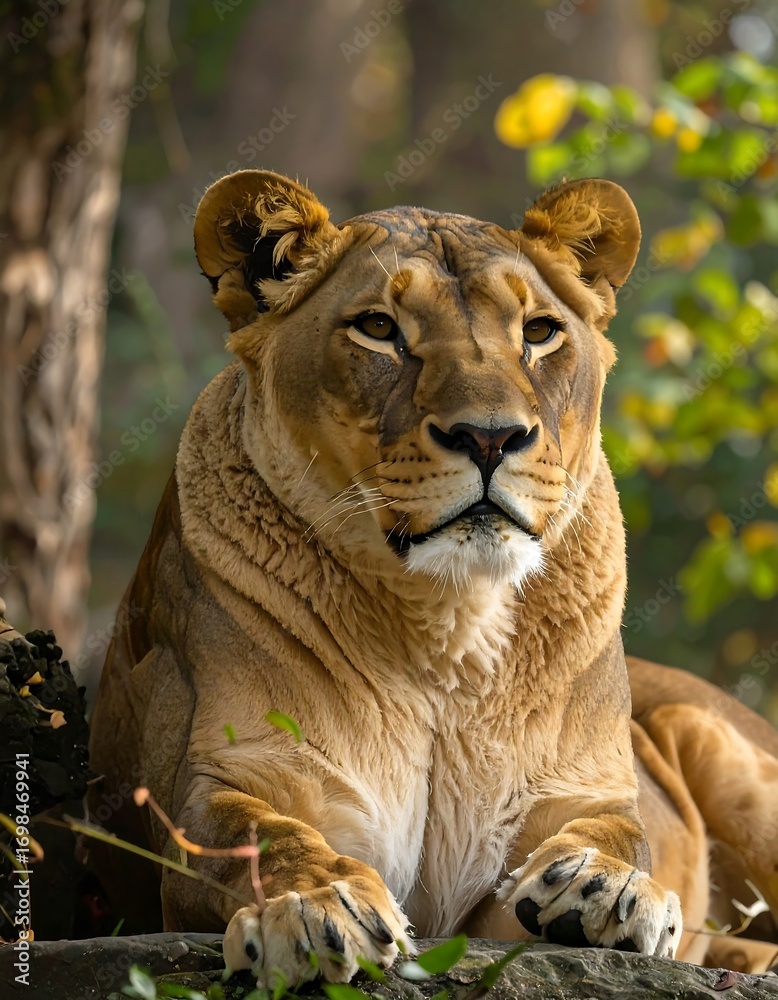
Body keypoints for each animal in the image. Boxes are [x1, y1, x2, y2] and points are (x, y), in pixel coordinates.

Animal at [88, 169, 778, 985]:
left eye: (538, 331)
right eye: (378, 328)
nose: (491, 436)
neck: (451, 628)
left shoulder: (575, 798)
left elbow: (619, 834)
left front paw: (603, 889)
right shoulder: (240, 775)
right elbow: (260, 844)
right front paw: (315, 909)